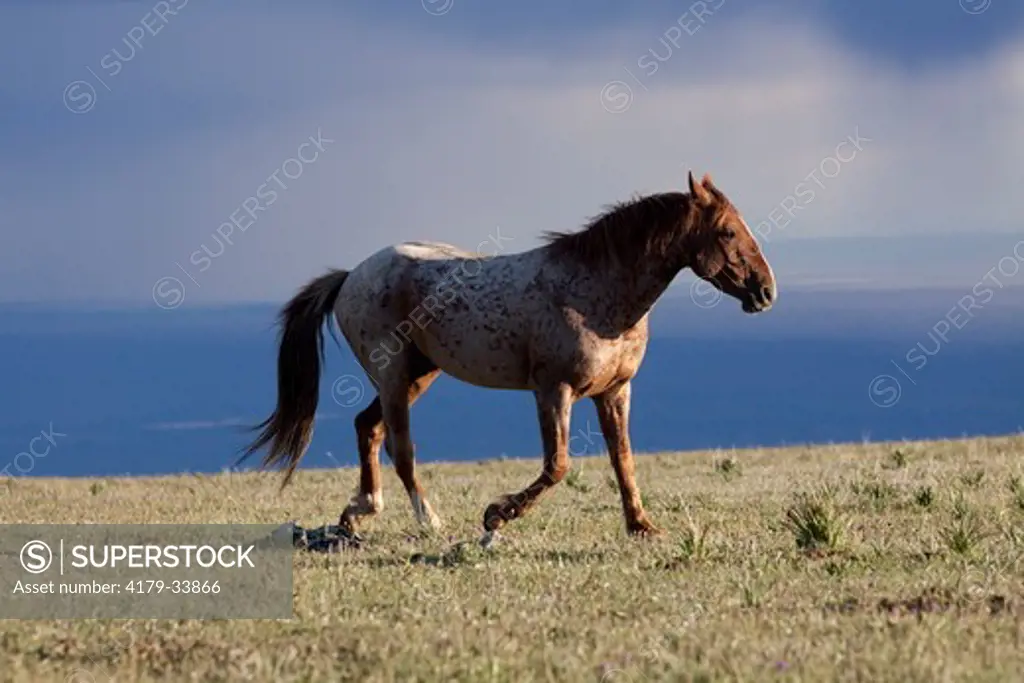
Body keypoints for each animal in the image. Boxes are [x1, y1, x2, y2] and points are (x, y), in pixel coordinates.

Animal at [237, 172, 774, 544]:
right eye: (727, 232)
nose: (765, 291)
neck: (596, 292)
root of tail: (350, 275)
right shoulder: (553, 390)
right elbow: (557, 465)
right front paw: (496, 515)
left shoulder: (615, 392)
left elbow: (623, 458)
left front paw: (642, 526)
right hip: (393, 375)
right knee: (399, 447)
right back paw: (428, 520)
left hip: (418, 375)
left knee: (366, 428)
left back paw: (358, 513)